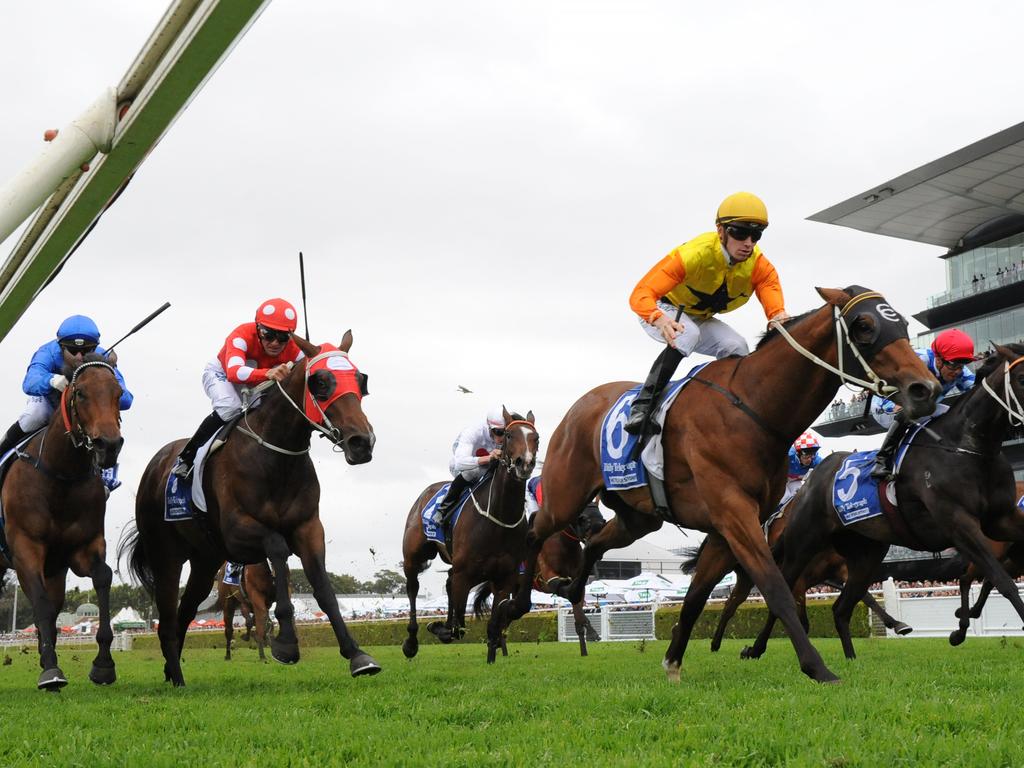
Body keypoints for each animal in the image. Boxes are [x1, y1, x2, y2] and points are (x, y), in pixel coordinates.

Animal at [0, 354, 123, 692]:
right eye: (80, 393)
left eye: (119, 393)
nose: (109, 445)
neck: (60, 475)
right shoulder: (25, 548)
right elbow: (40, 603)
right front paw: (51, 672)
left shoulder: (83, 547)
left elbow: (102, 577)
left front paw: (103, 665)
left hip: (55, 570)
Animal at [119, 331, 382, 684]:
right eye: (320, 382)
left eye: (360, 380)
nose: (361, 442)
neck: (275, 459)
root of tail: (155, 465)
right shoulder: (236, 532)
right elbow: (277, 547)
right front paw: (286, 642)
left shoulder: (309, 527)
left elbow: (324, 589)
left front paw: (357, 655)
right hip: (166, 556)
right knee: (168, 616)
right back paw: (176, 675)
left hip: (205, 562)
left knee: (184, 613)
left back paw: (172, 670)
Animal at [401, 411, 540, 663]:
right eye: (508, 434)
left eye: (536, 438)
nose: (524, 463)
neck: (497, 520)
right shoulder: (464, 574)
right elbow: (458, 627)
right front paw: (439, 628)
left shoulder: (504, 578)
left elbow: (494, 625)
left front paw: (491, 660)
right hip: (414, 556)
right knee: (413, 588)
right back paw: (411, 642)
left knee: (447, 583)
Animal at [499, 288, 937, 684]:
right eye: (865, 326)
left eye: (903, 324)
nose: (925, 388)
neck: (753, 408)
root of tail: (578, 406)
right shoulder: (733, 513)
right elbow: (776, 587)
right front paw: (817, 667)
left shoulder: (727, 528)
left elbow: (696, 597)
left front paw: (674, 660)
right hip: (566, 495)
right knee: (535, 531)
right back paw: (516, 604)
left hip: (637, 518)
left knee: (595, 543)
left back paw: (572, 589)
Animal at [745, 344, 1024, 663]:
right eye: (1022, 378)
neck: (965, 447)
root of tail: (809, 485)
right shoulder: (959, 523)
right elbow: (1002, 581)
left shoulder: (1002, 519)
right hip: (803, 544)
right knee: (784, 590)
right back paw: (756, 648)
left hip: (866, 556)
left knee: (841, 608)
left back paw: (853, 660)